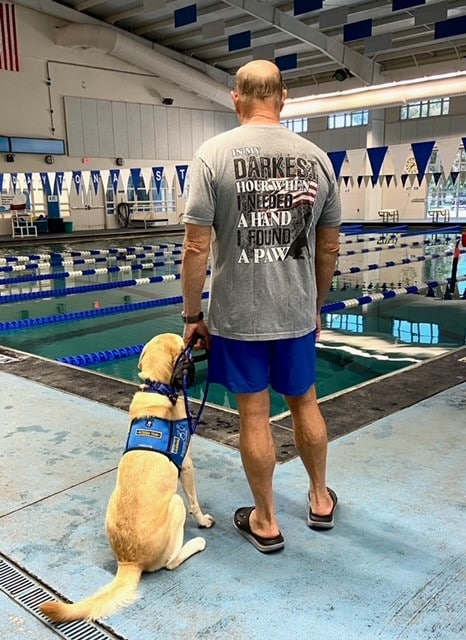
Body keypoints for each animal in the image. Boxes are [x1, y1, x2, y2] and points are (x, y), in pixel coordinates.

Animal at [41, 332, 214, 624]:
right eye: (184, 345)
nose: (194, 339)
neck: (158, 388)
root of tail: (129, 562)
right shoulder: (187, 465)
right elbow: (195, 501)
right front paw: (202, 521)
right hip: (175, 504)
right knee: (171, 562)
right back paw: (196, 544)